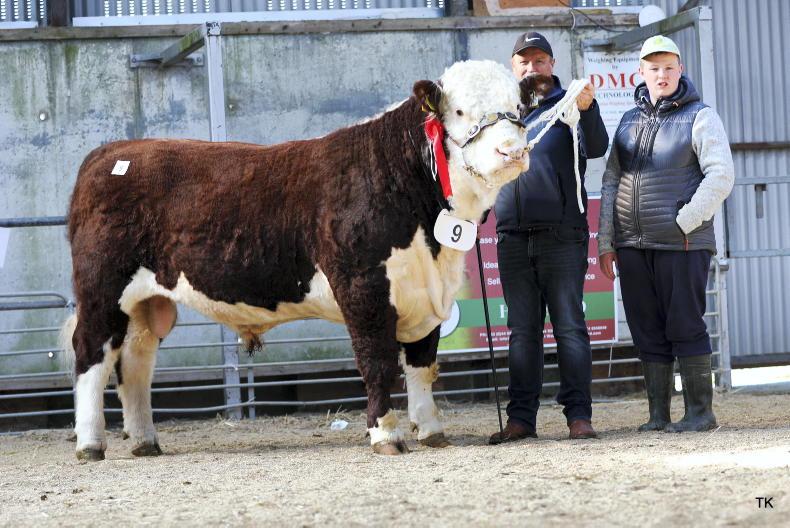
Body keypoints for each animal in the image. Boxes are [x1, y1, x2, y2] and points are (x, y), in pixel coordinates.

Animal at [62, 59, 546, 460]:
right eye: (460, 112)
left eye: (519, 108)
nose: (512, 151)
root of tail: (111, 153)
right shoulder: (362, 286)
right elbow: (377, 362)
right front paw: (385, 435)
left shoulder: (428, 293)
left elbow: (423, 365)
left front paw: (431, 431)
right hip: (102, 286)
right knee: (91, 353)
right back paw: (90, 443)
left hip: (146, 301)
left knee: (135, 361)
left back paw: (145, 440)